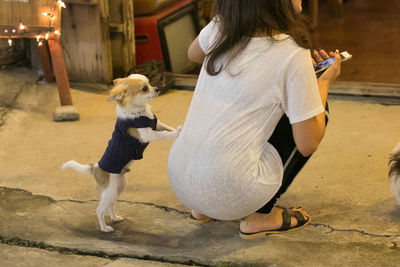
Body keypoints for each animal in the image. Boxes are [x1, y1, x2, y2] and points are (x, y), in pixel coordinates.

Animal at [62, 74, 181, 233]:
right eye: (145, 88)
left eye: (150, 83)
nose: (157, 89)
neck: (140, 112)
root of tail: (95, 168)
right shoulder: (148, 134)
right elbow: (163, 134)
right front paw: (176, 133)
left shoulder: (157, 124)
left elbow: (166, 127)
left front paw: (178, 128)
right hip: (110, 191)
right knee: (100, 210)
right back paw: (104, 228)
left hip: (118, 187)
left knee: (110, 205)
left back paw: (115, 218)